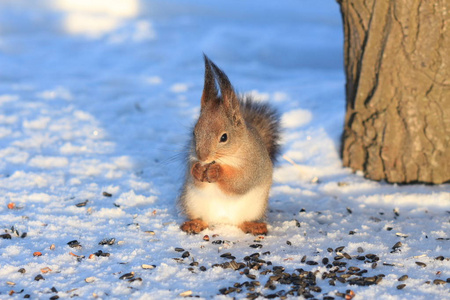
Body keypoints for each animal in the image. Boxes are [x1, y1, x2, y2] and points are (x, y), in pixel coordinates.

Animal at [178, 55, 280, 236]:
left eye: (224, 137)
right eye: (194, 133)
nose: (202, 156)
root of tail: (223, 221)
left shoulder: (253, 165)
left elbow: (240, 182)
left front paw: (216, 172)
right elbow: (194, 178)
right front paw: (197, 170)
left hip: (254, 208)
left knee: (243, 221)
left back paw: (254, 226)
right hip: (192, 201)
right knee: (202, 218)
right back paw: (194, 224)